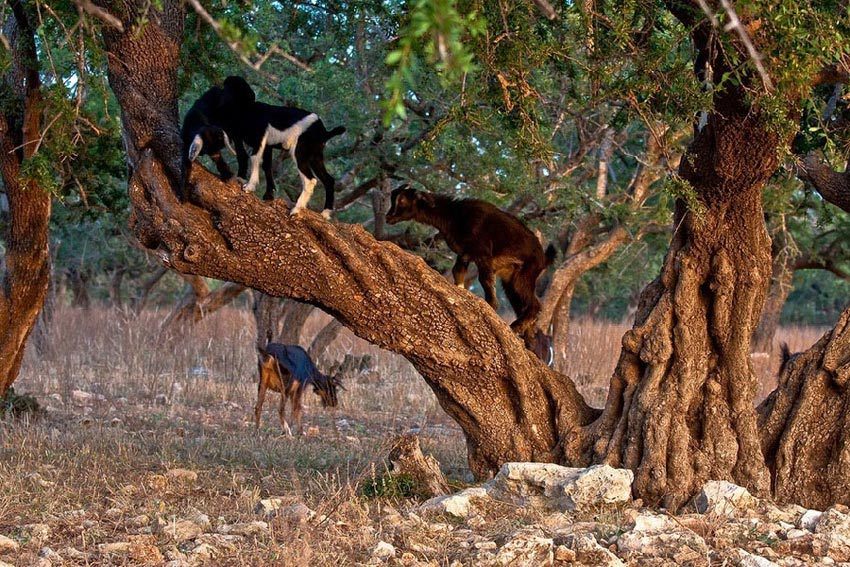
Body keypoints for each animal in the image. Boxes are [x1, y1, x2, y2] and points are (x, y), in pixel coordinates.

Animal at [222, 76, 348, 216]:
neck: (249, 109)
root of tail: (324, 132)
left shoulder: (260, 139)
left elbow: (254, 158)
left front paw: (250, 187)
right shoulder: (268, 146)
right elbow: (267, 166)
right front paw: (268, 195)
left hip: (300, 153)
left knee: (310, 180)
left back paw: (296, 210)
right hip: (315, 156)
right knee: (329, 180)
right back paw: (325, 214)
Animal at [386, 186, 556, 348]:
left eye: (402, 200)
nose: (388, 217)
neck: (454, 215)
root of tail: (543, 258)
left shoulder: (483, 254)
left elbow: (485, 280)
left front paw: (491, 306)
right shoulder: (464, 254)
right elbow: (458, 272)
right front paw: (460, 293)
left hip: (524, 275)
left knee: (535, 305)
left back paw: (515, 327)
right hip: (510, 280)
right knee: (523, 306)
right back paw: (526, 339)